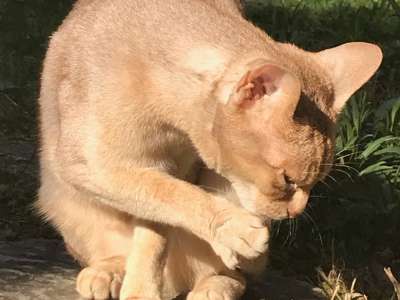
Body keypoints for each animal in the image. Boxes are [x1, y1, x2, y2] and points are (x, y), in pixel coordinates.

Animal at [36, 0, 382, 298]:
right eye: (286, 180)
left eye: (314, 183)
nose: (295, 211)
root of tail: (178, 282)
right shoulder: (90, 165)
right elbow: (168, 196)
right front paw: (230, 226)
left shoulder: (174, 167)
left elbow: (155, 231)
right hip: (60, 198)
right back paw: (107, 272)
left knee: (237, 274)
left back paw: (213, 287)